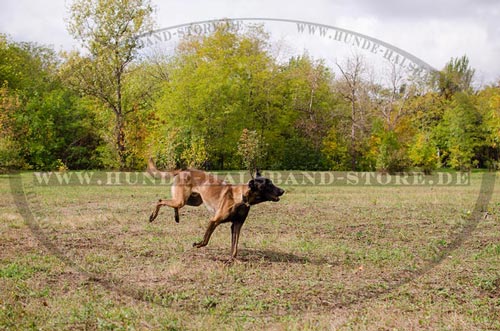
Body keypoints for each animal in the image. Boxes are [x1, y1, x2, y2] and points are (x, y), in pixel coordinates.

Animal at [146, 160, 284, 264]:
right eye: (268, 184)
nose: (282, 191)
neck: (241, 198)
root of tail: (184, 170)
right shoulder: (214, 221)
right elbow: (206, 239)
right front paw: (197, 244)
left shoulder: (237, 225)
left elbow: (235, 246)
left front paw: (233, 260)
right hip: (182, 200)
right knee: (160, 200)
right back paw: (153, 216)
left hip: (192, 201)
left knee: (173, 204)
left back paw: (176, 217)